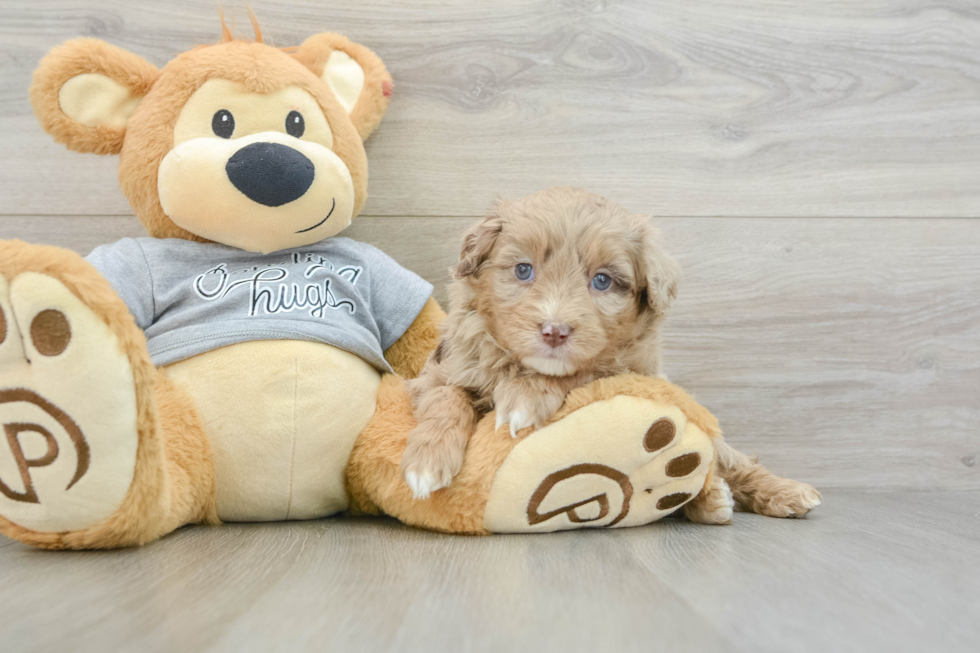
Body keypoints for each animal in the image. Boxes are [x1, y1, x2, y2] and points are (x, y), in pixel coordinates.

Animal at [400, 186, 736, 524]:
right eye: (523, 270)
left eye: (602, 280)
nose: (554, 331)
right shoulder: (441, 370)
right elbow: (446, 395)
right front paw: (426, 461)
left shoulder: (633, 371)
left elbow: (586, 371)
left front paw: (526, 396)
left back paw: (713, 498)